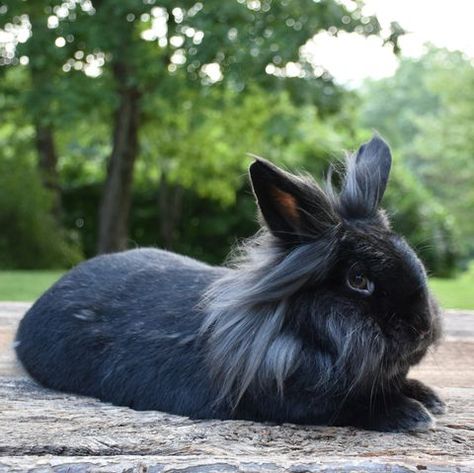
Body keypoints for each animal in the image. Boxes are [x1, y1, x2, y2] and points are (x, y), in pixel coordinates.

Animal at [14, 134, 444, 432]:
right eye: (358, 280)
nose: (422, 328)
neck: (297, 334)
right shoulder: (295, 401)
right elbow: (350, 408)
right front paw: (412, 414)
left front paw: (429, 397)